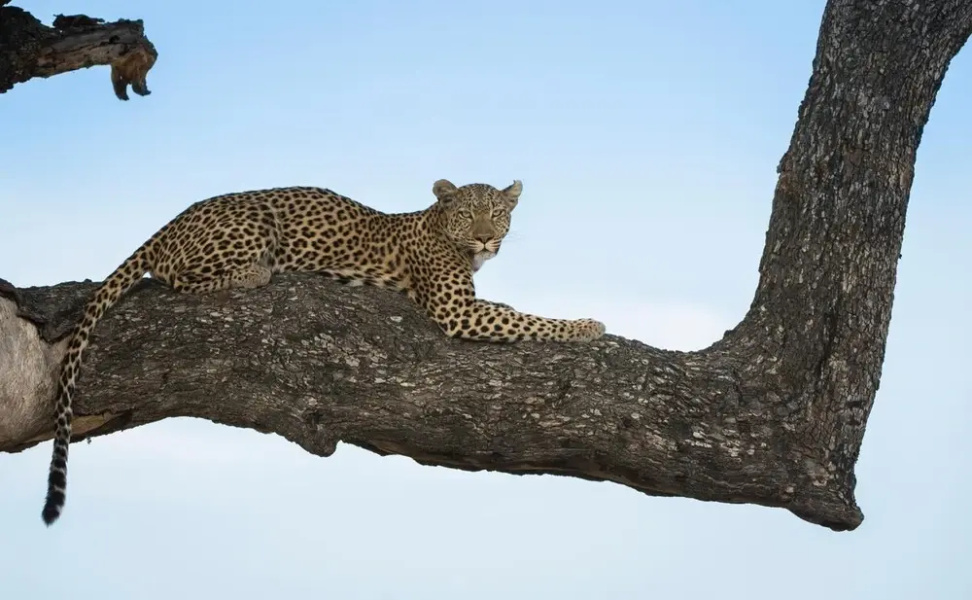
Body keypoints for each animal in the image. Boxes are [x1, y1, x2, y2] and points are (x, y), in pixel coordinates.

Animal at [40, 178, 606, 526]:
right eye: (468, 214)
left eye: (497, 213)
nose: (487, 239)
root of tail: (171, 222)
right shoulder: (456, 310)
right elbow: (527, 318)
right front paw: (588, 325)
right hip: (253, 222)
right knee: (177, 278)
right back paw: (260, 272)